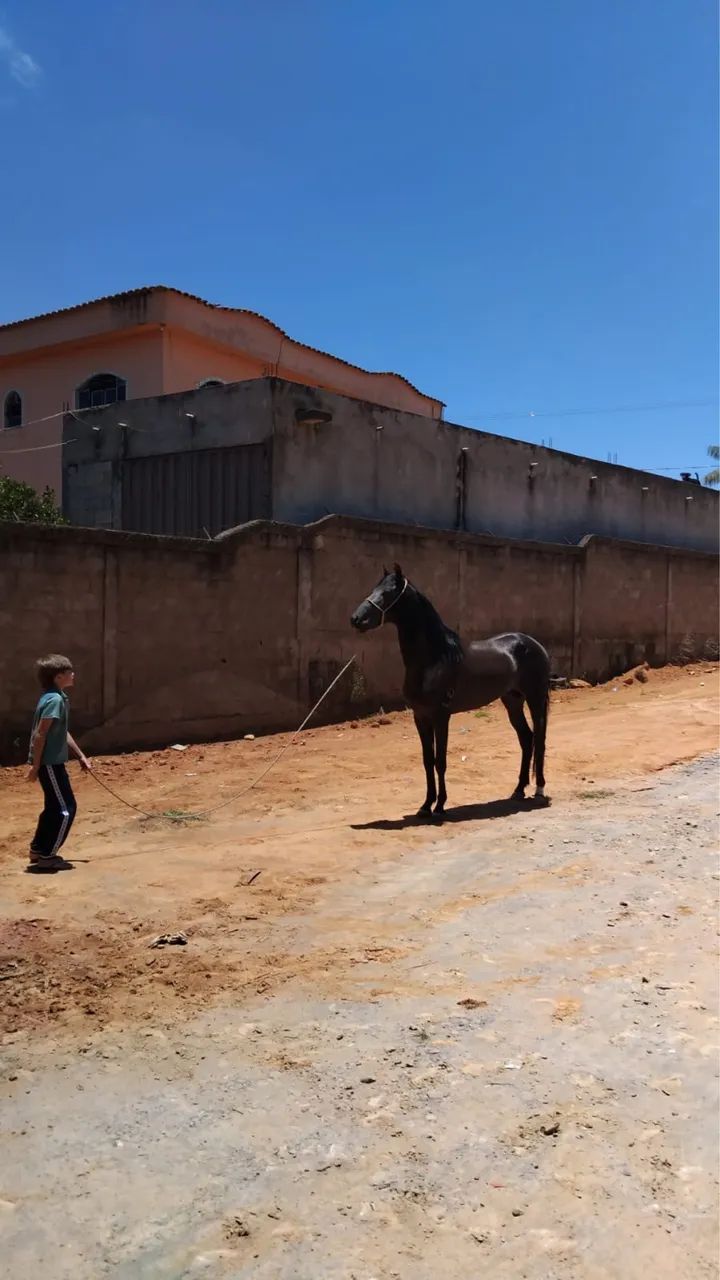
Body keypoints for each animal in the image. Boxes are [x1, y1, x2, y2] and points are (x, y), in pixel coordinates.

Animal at [350, 564, 551, 818]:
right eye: (374, 588)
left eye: (387, 593)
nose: (356, 619)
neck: (436, 657)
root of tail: (534, 644)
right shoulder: (421, 716)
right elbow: (427, 760)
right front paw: (425, 806)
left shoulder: (441, 716)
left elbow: (440, 761)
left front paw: (440, 806)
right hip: (512, 701)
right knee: (526, 738)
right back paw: (518, 790)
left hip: (535, 699)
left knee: (540, 740)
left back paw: (539, 789)